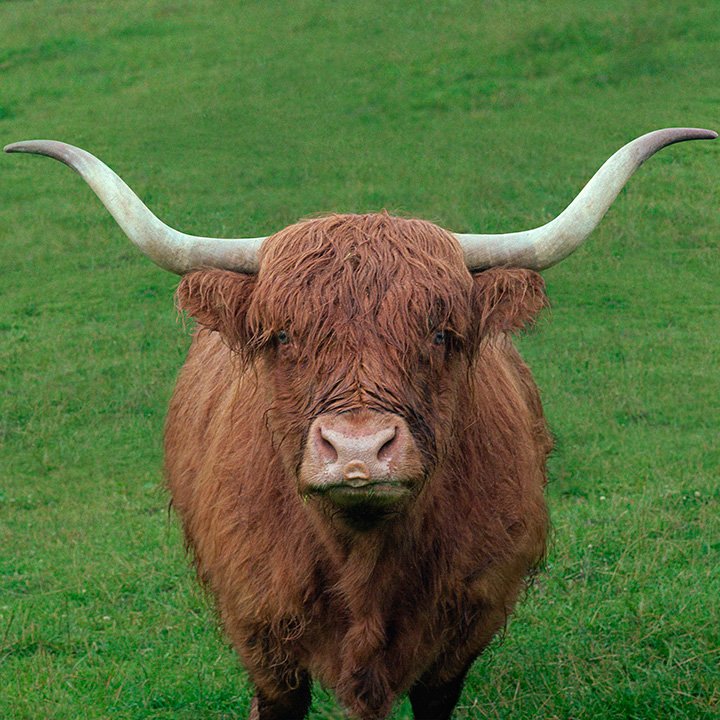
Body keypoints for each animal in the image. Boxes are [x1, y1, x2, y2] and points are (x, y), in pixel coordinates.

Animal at [5, 127, 715, 720]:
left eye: (441, 334)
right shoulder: (262, 633)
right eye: (281, 336)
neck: (364, 560)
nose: (358, 450)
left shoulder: (465, 627)